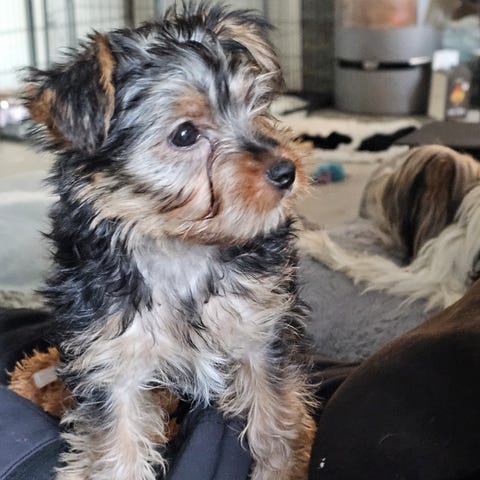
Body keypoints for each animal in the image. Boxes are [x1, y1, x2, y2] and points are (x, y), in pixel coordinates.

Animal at [25, 3, 315, 479]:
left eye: (254, 107)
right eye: (184, 135)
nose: (285, 170)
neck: (178, 246)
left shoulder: (260, 332)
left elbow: (275, 426)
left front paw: (279, 469)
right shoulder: (111, 364)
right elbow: (117, 448)